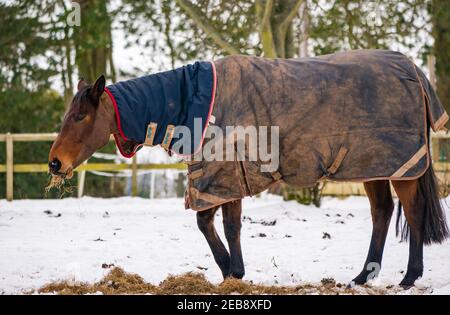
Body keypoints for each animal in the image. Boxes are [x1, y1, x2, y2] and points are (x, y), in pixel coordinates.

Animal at [47, 50, 448, 290]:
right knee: (382, 212)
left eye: (80, 115)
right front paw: (229, 271)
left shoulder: (226, 175)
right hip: (373, 165)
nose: (55, 162)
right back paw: (364, 276)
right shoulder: (212, 178)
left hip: (401, 167)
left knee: (412, 212)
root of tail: (413, 69)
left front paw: (233, 272)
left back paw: (409, 277)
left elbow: (226, 226)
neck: (192, 102)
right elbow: (210, 224)